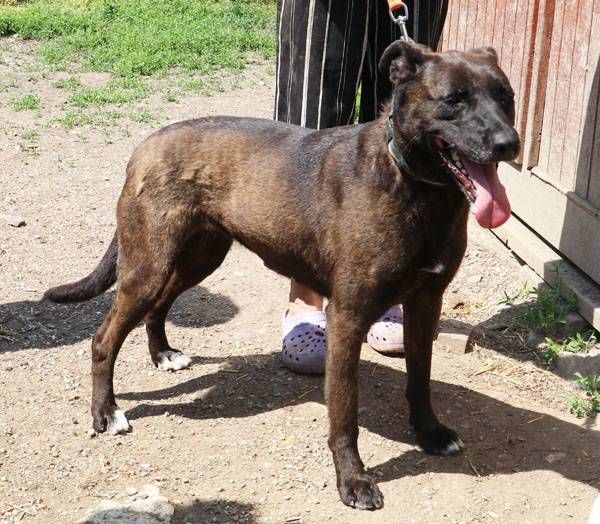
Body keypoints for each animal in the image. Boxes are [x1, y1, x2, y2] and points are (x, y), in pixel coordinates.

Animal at [45, 40, 519, 510]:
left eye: (506, 97)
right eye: (454, 100)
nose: (508, 143)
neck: (413, 184)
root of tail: (145, 144)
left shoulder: (425, 305)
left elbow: (420, 380)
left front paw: (429, 434)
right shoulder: (347, 317)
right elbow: (345, 414)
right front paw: (352, 481)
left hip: (196, 259)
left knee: (157, 307)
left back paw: (163, 354)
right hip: (148, 266)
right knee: (103, 338)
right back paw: (106, 412)